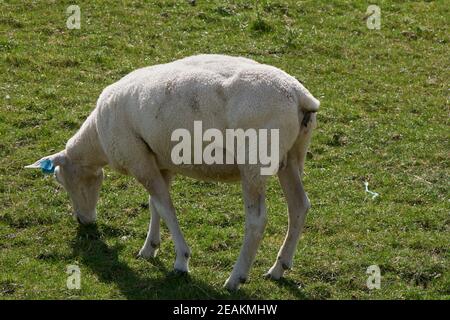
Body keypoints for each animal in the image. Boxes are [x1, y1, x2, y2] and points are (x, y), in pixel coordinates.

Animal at [25, 53, 320, 292]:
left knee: (257, 220)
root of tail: (298, 94)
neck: (97, 137)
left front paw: (181, 261)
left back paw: (235, 278)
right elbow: (155, 205)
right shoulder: (158, 161)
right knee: (299, 206)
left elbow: (166, 208)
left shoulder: (138, 160)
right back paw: (279, 268)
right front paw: (149, 248)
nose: (83, 221)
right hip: (291, 157)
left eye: (62, 180)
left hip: (254, 161)